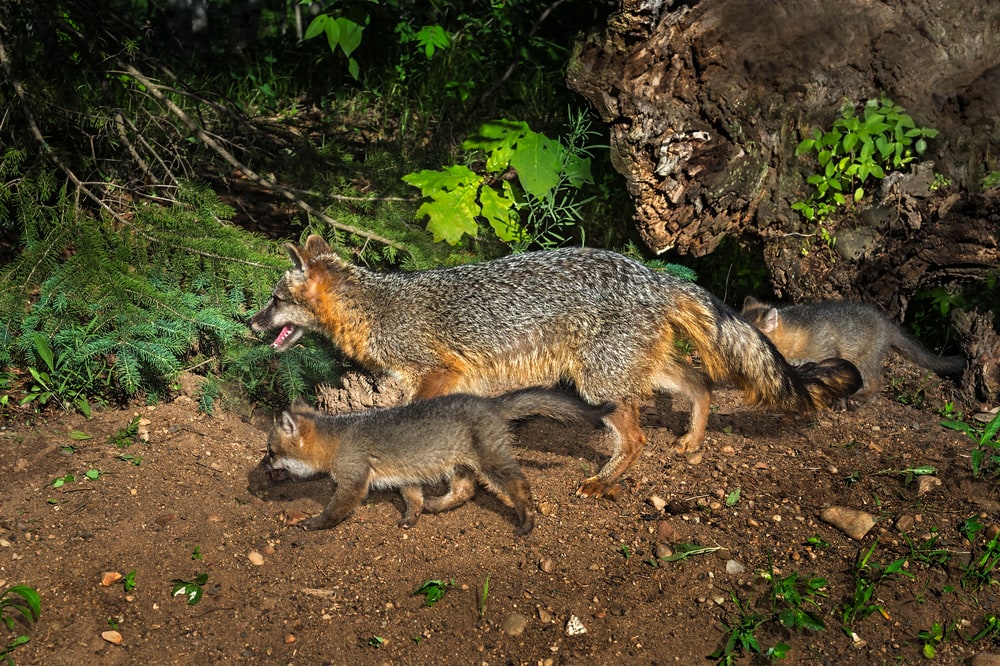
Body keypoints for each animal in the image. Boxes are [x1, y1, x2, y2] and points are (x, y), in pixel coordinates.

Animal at [250, 234, 863, 499]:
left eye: (274, 300)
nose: (248, 322)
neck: (378, 307)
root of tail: (654, 274)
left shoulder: (436, 372)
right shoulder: (461, 381)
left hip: (599, 384)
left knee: (637, 438)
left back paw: (603, 482)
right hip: (633, 371)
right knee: (699, 382)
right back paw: (690, 441)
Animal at [261, 388, 614, 535]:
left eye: (271, 452)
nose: (262, 468)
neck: (339, 437)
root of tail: (490, 402)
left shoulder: (353, 482)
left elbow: (334, 511)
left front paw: (314, 523)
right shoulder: (405, 478)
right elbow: (413, 500)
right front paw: (412, 518)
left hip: (492, 465)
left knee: (520, 485)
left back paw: (527, 521)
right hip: (458, 466)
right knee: (466, 491)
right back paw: (436, 505)